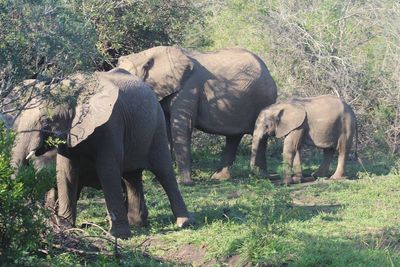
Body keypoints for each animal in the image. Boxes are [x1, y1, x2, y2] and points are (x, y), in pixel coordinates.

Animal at [11, 67, 193, 239]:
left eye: (45, 121)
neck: (74, 91)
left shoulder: (110, 123)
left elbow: (108, 169)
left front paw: (117, 236)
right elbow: (65, 172)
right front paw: (65, 228)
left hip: (157, 127)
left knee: (163, 171)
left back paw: (183, 223)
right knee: (131, 177)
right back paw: (137, 224)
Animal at [117, 46, 276, 185]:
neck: (144, 55)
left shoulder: (189, 89)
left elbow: (182, 126)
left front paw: (185, 183)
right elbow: (166, 127)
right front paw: (160, 181)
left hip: (262, 100)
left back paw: (259, 176)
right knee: (233, 137)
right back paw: (219, 178)